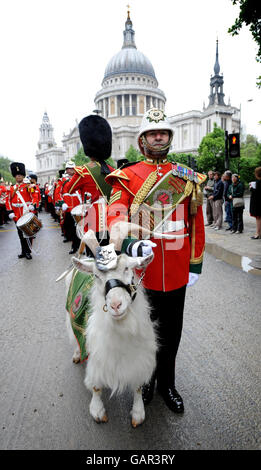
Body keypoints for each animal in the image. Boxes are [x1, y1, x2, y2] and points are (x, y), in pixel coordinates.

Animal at [64, 228, 156, 430]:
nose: (115, 305)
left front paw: (138, 412)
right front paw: (97, 410)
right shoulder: (97, 357)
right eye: (97, 276)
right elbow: (96, 385)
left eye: (127, 268)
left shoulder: (139, 359)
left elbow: (138, 386)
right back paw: (76, 354)